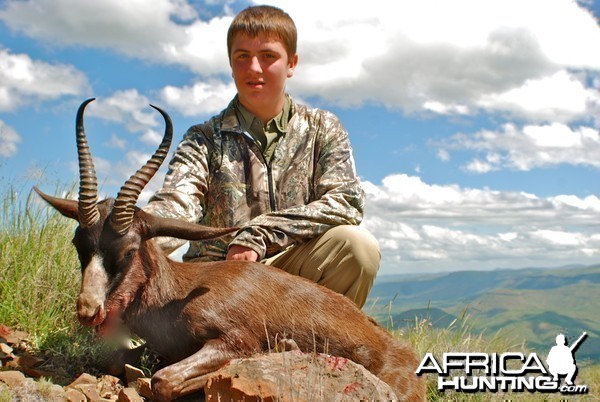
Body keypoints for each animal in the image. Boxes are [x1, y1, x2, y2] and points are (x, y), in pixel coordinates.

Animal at [35, 99, 426, 400]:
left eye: (130, 249)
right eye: (79, 244)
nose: (89, 310)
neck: (178, 294)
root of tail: (408, 355)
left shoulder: (234, 339)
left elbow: (162, 380)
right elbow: (116, 359)